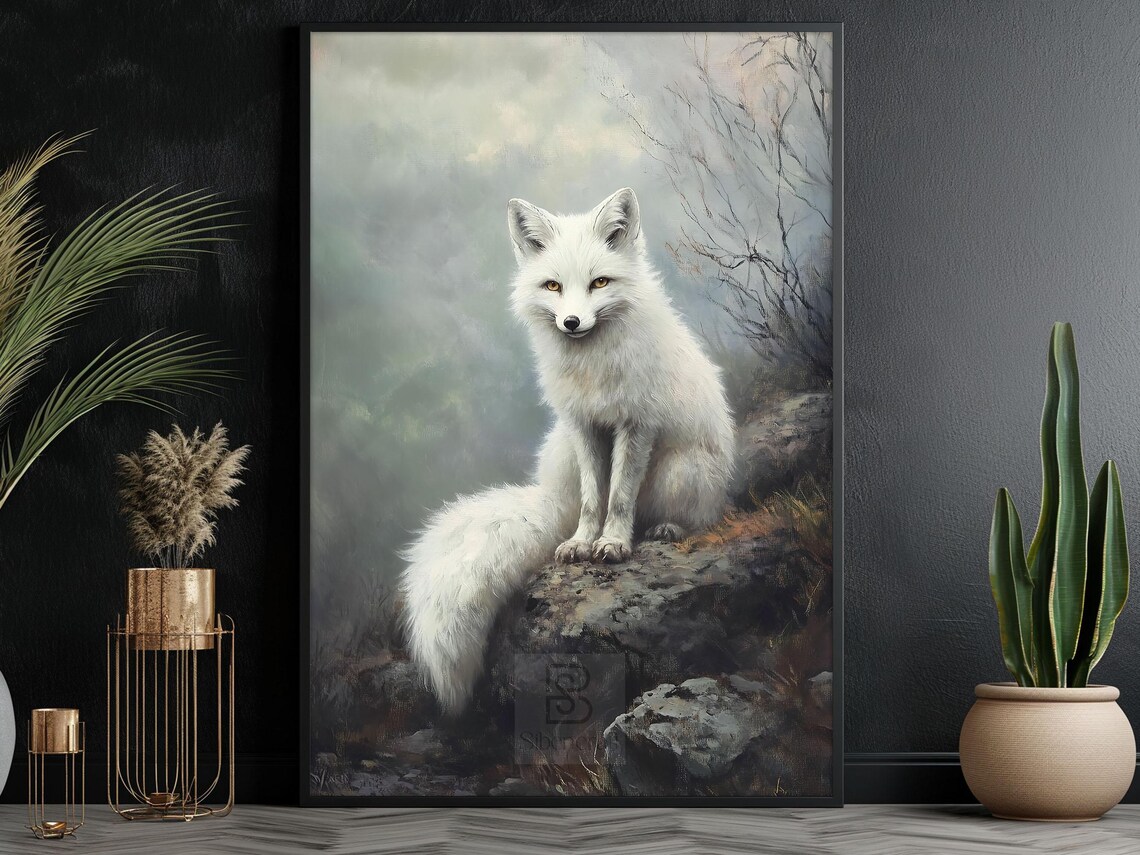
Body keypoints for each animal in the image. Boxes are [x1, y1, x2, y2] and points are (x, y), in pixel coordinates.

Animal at [400, 187, 735, 715]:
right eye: (553, 286)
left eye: (599, 282)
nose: (572, 321)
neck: (591, 367)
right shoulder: (584, 425)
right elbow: (594, 497)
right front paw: (582, 542)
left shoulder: (635, 425)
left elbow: (619, 496)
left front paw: (613, 544)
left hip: (684, 471)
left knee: (690, 513)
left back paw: (666, 528)